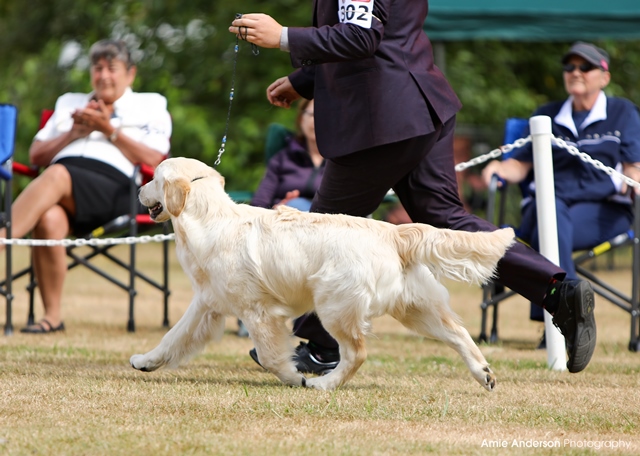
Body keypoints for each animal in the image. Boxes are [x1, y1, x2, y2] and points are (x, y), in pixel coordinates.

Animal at [131, 159, 516, 390]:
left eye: (154, 178)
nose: (137, 189)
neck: (211, 219)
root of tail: (393, 232)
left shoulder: (258, 311)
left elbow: (270, 356)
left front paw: (293, 376)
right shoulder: (207, 303)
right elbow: (173, 338)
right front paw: (145, 361)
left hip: (334, 306)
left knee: (356, 353)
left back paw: (324, 384)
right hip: (415, 307)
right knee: (459, 333)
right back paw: (484, 374)